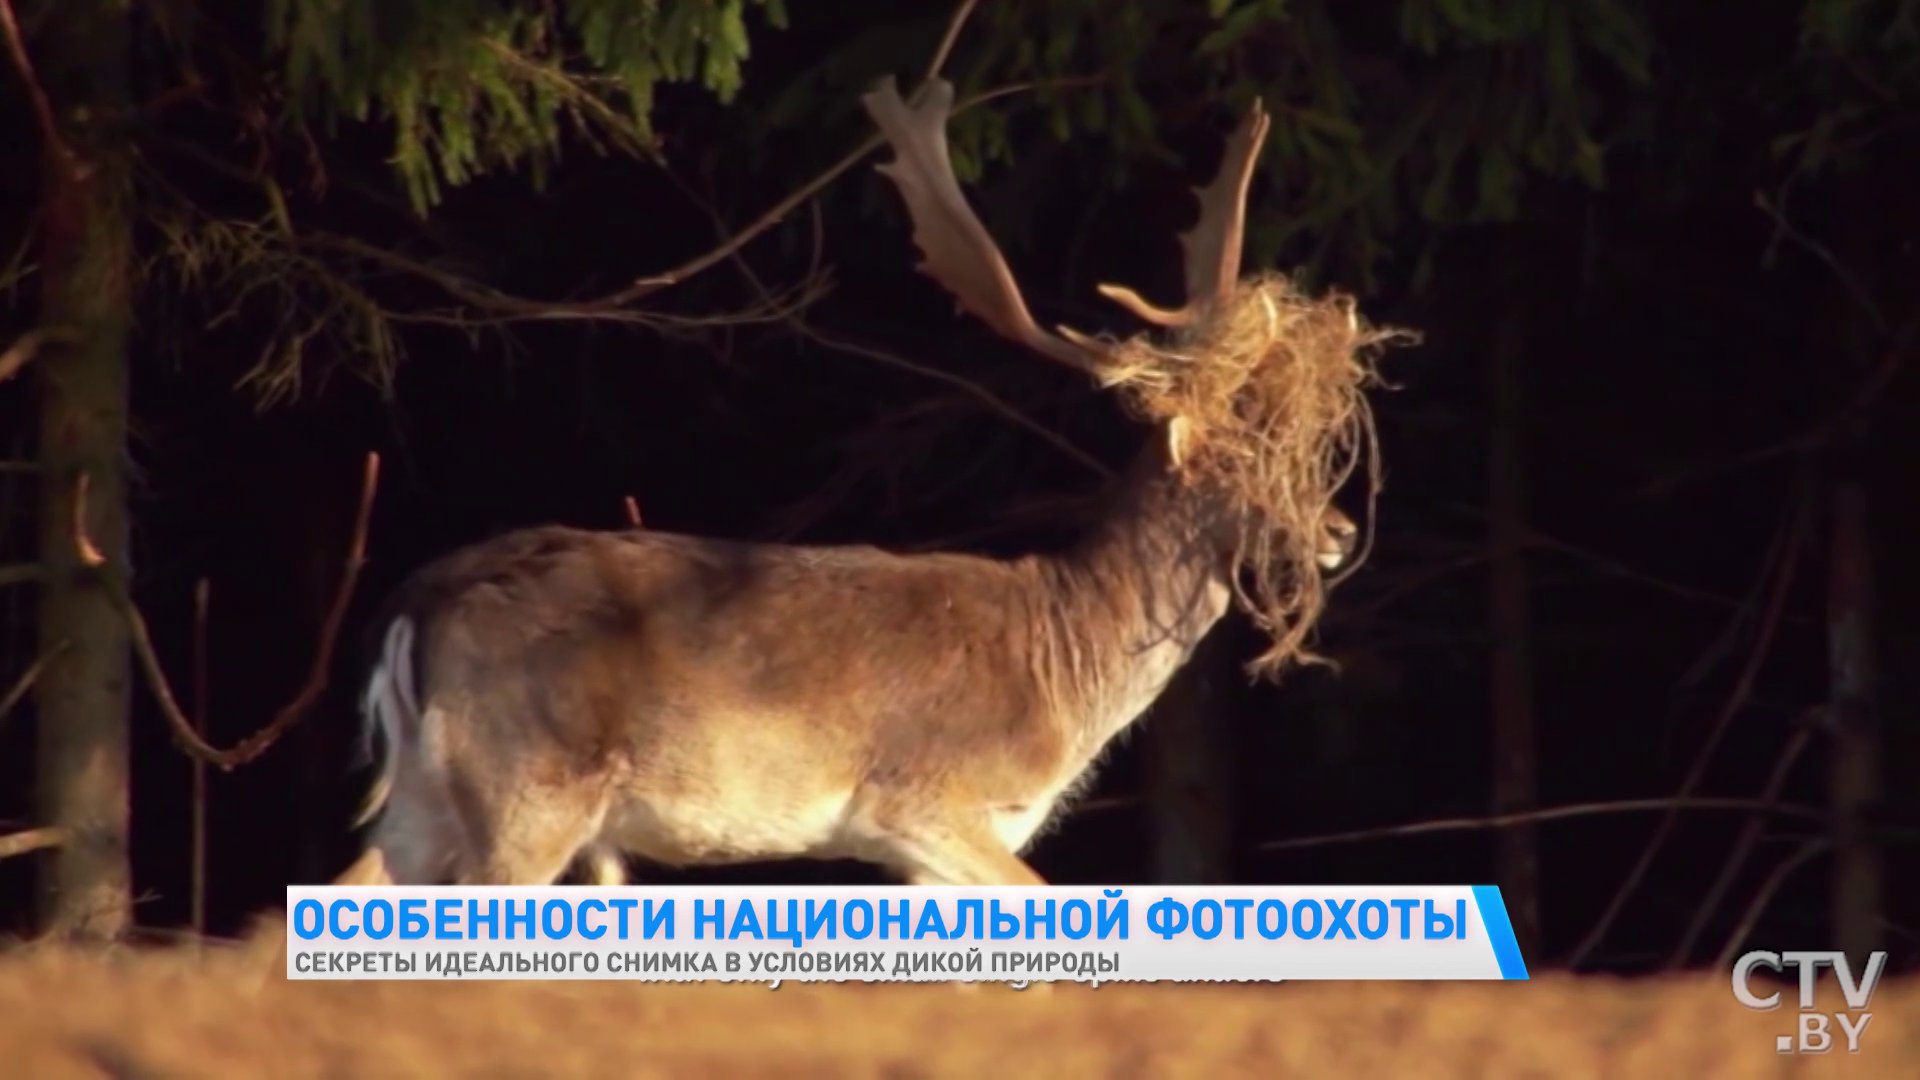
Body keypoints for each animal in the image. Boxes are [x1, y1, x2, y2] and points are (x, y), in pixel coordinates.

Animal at [345, 73, 1390, 883]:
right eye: (1247, 455)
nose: (1340, 534)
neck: (1064, 663)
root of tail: (417, 602)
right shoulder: (922, 799)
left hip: (431, 795)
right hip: (528, 783)